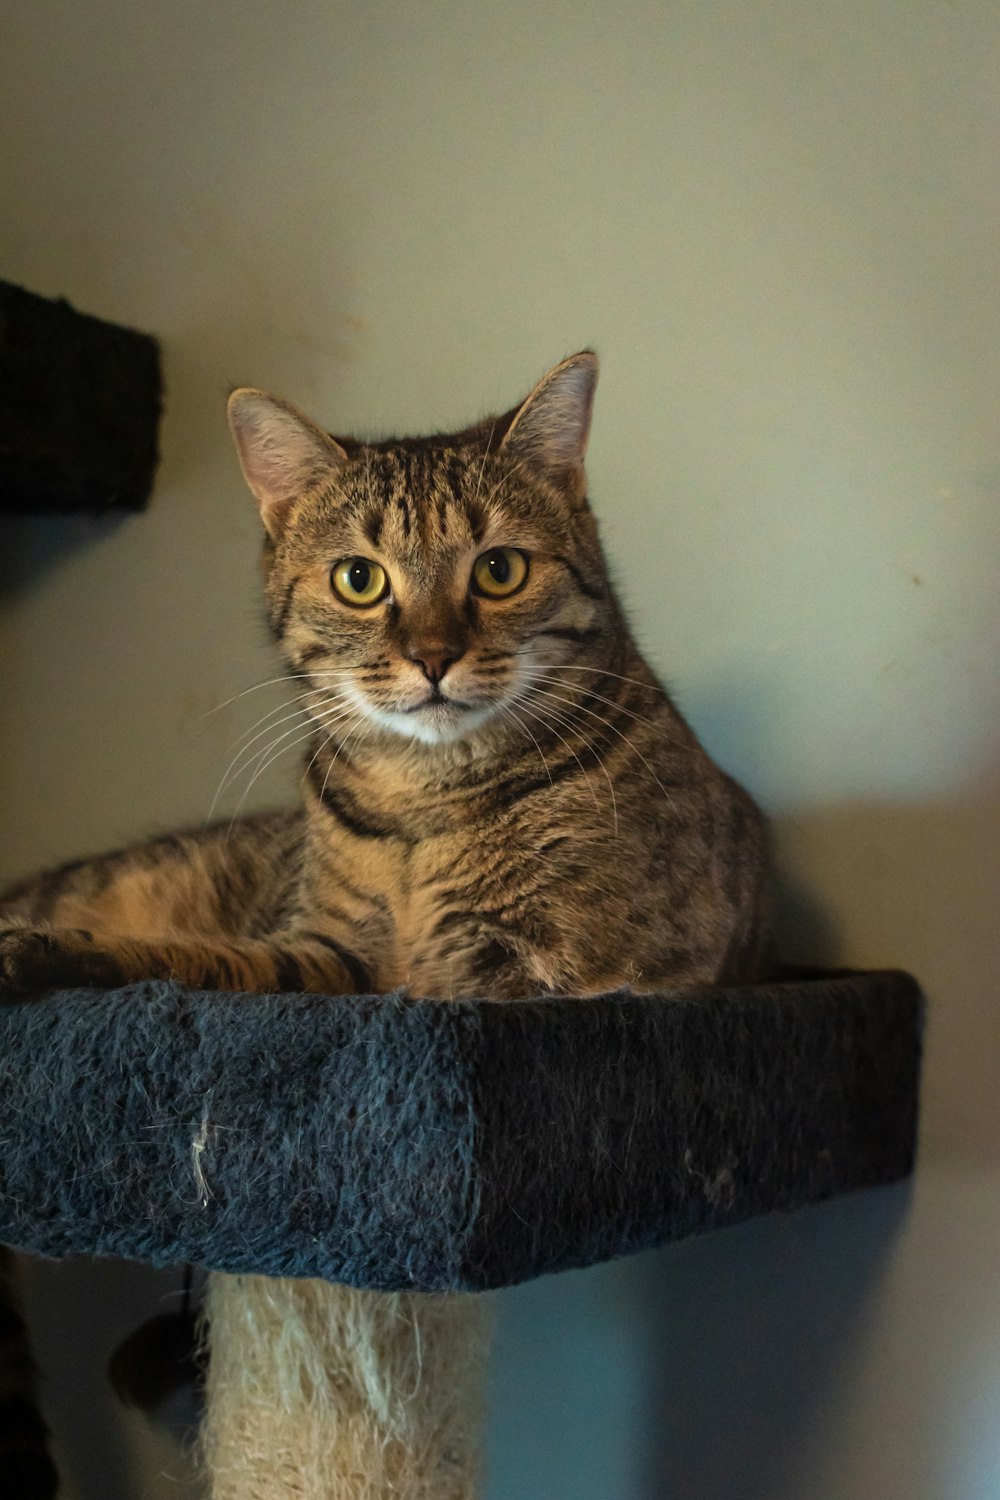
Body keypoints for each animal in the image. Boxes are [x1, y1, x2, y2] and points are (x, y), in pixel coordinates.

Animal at [0, 345, 773, 1494]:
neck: (422, 803)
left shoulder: (526, 968)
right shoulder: (320, 946)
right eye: (359, 580)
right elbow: (199, 961)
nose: (434, 655)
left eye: (499, 570)